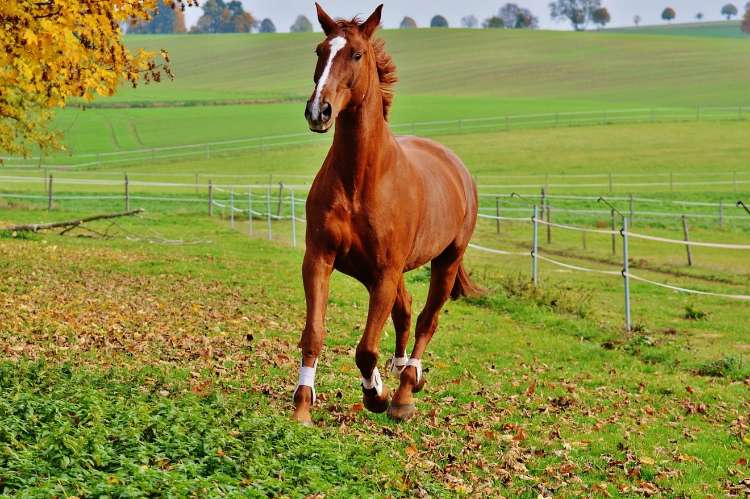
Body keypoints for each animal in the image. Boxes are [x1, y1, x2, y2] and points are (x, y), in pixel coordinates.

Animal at [292, 3, 480, 425]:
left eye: (357, 54)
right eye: (319, 50)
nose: (318, 111)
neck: (360, 180)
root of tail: (457, 168)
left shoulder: (385, 272)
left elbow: (365, 349)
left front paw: (375, 395)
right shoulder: (320, 259)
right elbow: (314, 334)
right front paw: (302, 407)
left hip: (445, 262)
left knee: (426, 319)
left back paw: (405, 391)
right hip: (371, 271)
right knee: (406, 311)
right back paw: (400, 372)